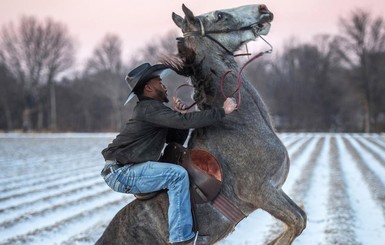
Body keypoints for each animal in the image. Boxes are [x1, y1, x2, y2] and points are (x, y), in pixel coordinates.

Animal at [96, 3, 306, 245]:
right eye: (219, 15)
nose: (263, 9)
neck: (238, 126)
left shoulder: (275, 190)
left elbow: (301, 217)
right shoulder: (260, 191)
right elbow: (297, 222)